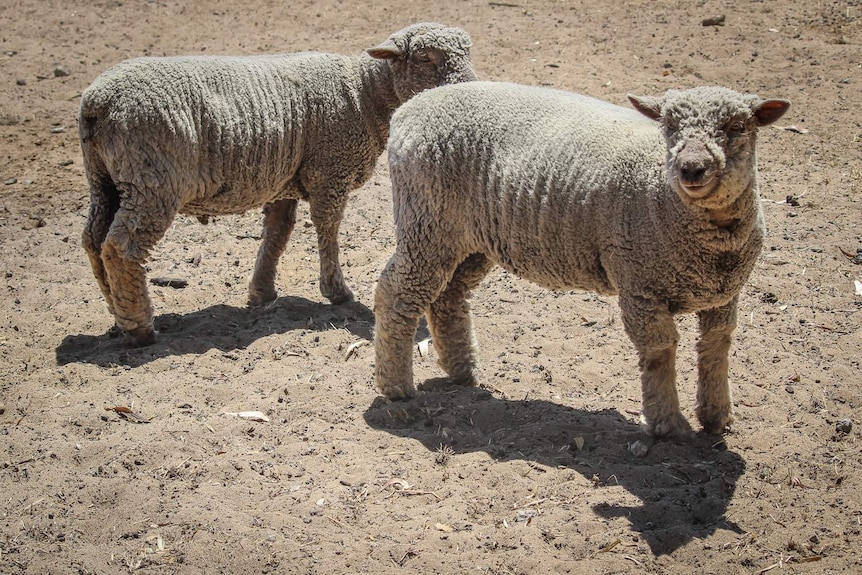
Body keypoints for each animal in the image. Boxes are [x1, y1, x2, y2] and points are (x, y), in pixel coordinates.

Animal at [81, 22, 480, 346]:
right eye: (426, 57)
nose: (473, 91)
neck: (363, 94)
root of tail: (97, 100)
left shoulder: (284, 182)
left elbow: (277, 233)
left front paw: (262, 292)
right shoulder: (329, 171)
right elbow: (328, 228)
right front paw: (336, 290)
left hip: (105, 180)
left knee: (94, 241)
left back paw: (118, 314)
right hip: (152, 179)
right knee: (120, 248)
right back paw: (140, 328)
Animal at [374, 82, 792, 436]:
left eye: (737, 126)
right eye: (670, 125)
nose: (691, 168)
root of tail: (410, 109)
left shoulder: (725, 294)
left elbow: (716, 347)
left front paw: (718, 416)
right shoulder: (640, 286)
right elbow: (659, 351)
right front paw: (667, 424)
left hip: (469, 239)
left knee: (448, 297)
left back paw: (463, 371)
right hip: (427, 222)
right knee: (396, 294)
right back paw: (396, 386)